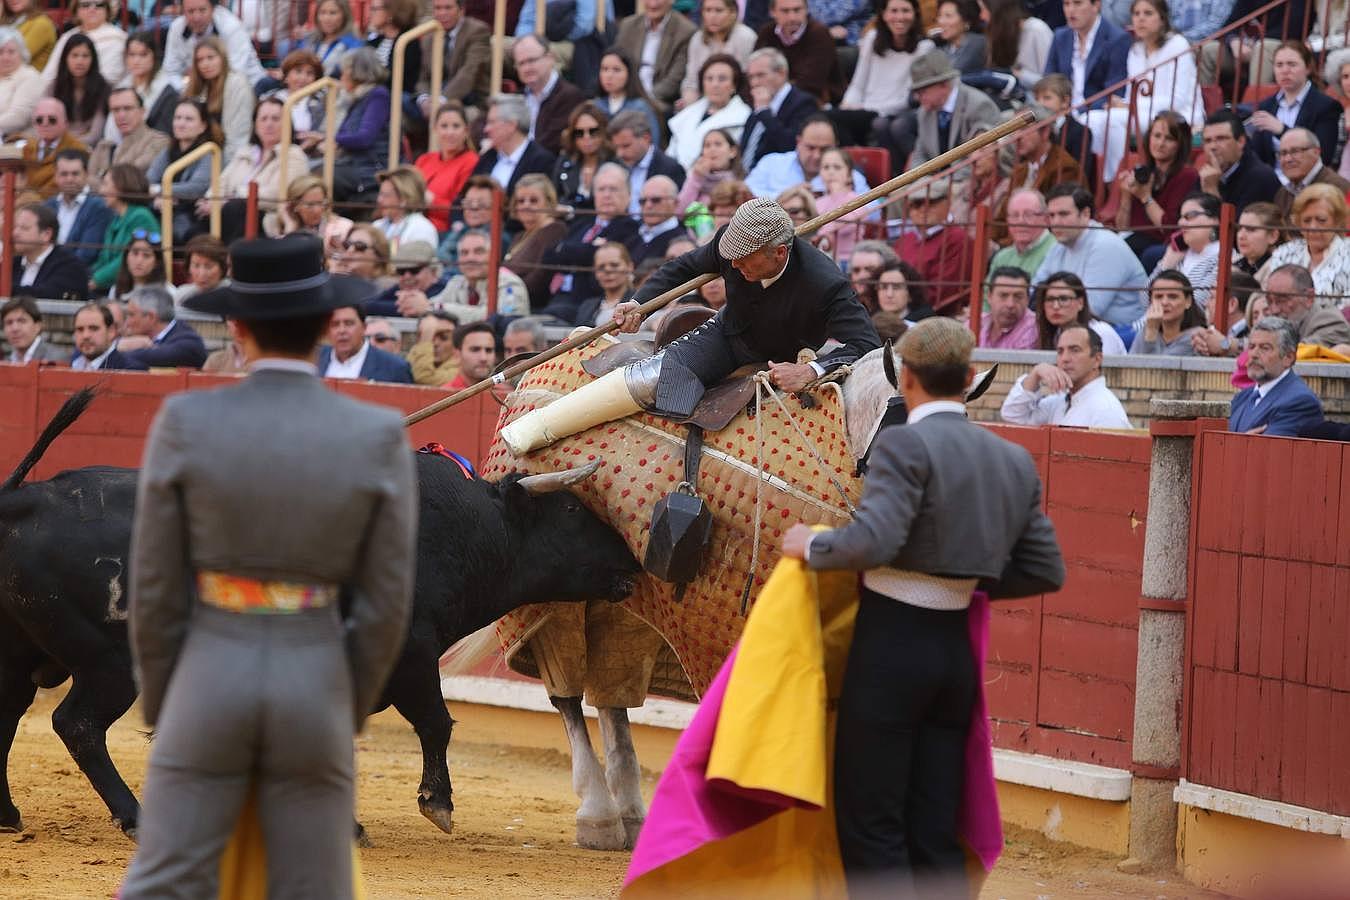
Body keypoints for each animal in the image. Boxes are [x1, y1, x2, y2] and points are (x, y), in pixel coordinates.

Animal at [0, 391, 639, 841]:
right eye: (572, 512)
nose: (634, 561)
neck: (455, 527)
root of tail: (27, 498)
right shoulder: (409, 653)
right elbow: (435, 722)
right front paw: (435, 805)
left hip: (22, 654)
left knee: (9, 716)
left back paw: (8, 814)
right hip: (112, 662)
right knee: (78, 725)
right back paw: (133, 816)